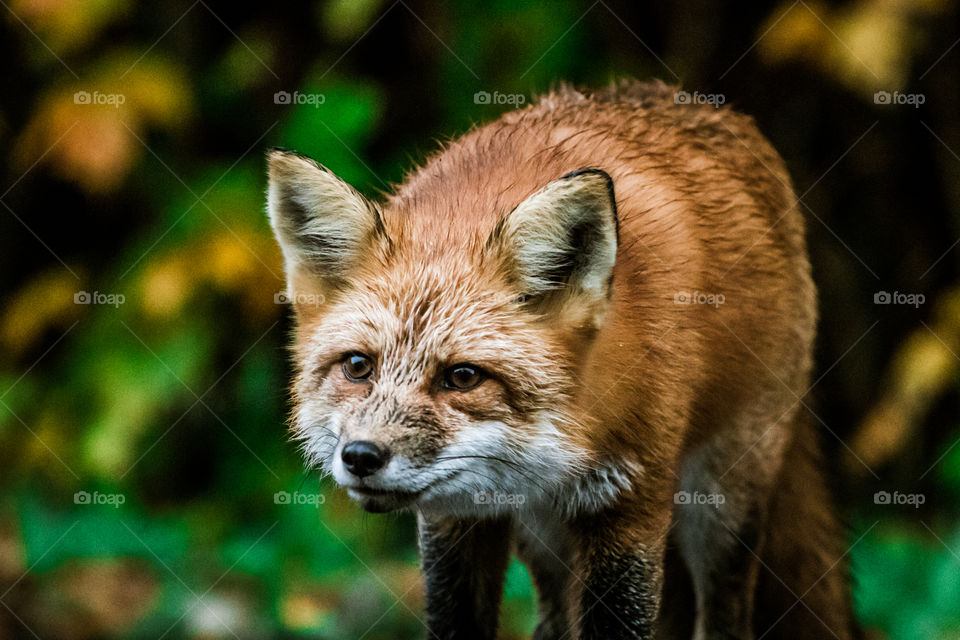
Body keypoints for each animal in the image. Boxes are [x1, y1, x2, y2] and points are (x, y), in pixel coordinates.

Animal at [267, 79, 858, 640]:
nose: (361, 457)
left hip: (723, 505)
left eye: (463, 377)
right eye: (357, 367)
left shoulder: (631, 505)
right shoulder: (455, 517)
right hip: (544, 539)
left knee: (726, 619)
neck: (576, 434)